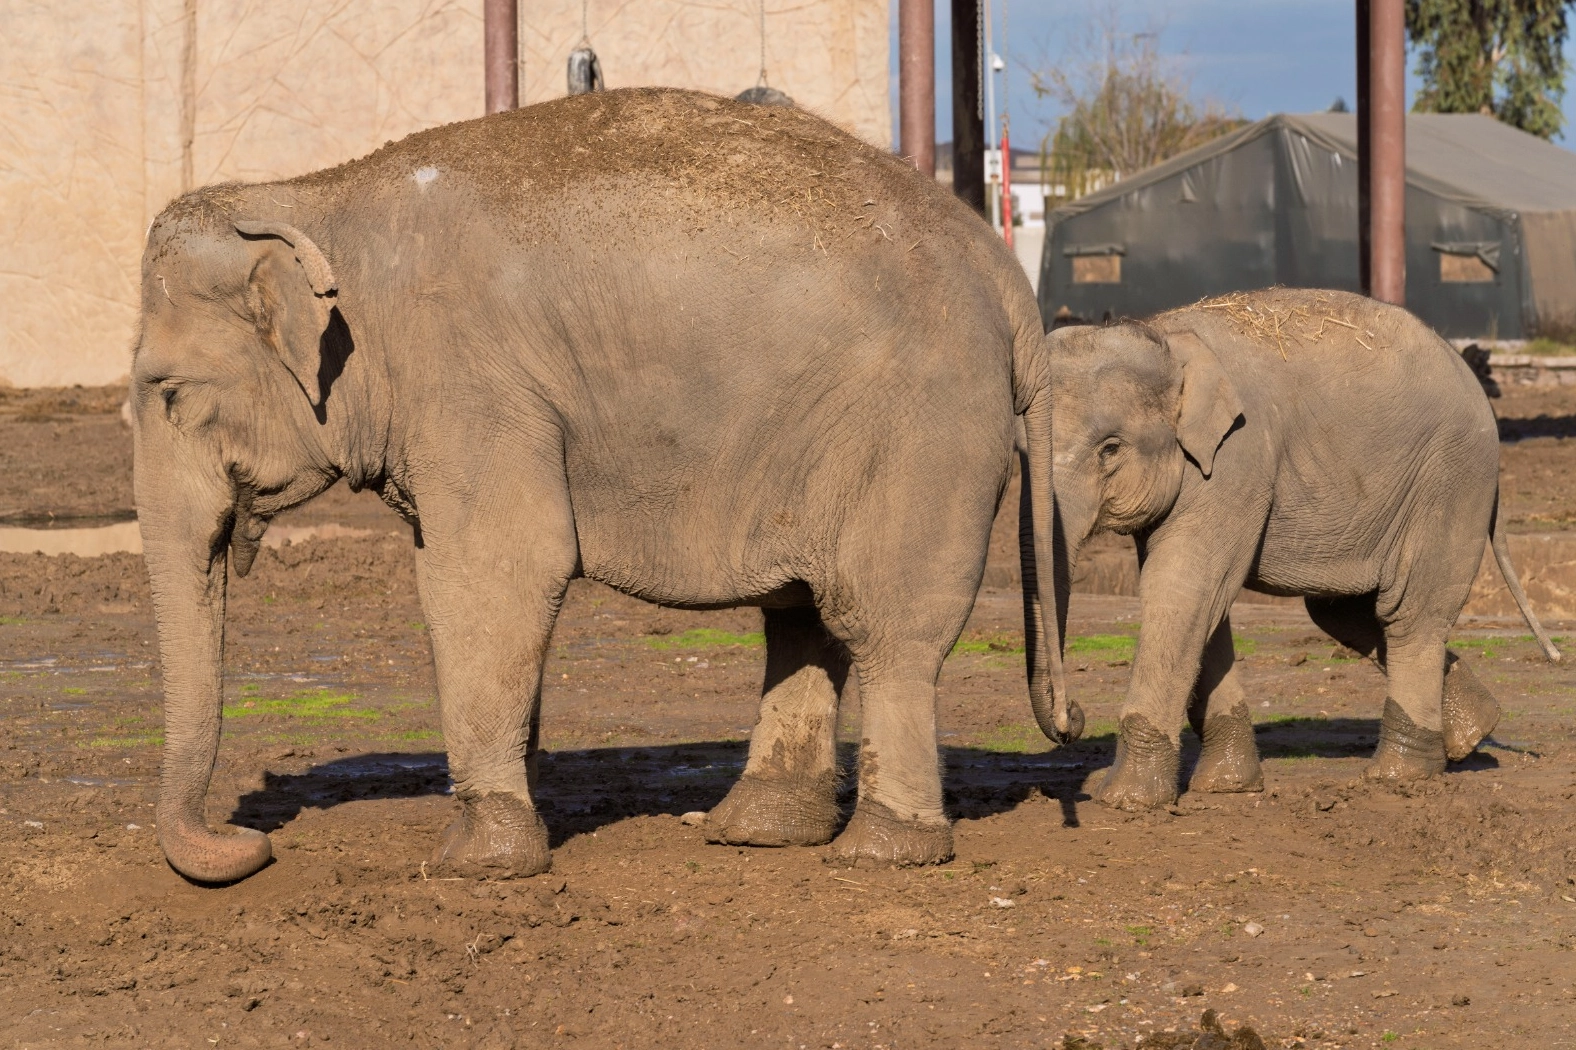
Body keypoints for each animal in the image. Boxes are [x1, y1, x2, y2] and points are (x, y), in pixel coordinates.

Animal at [135, 89, 1077, 876]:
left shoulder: (473, 381)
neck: (313, 196)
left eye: (169, 393)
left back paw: (881, 852)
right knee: (804, 616)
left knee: (883, 622)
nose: (248, 838)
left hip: (923, 429)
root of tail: (1004, 276)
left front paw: (474, 862)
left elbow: (496, 569)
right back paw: (758, 830)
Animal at [1040, 283, 1557, 800]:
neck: (1163, 336)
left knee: (1408, 613)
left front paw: (1125, 800)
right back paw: (1473, 730)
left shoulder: (1238, 457)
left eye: (1110, 449)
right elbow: (1206, 603)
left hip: (1449, 479)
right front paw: (1228, 786)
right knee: (1344, 611)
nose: (1073, 719)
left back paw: (1400, 775)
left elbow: (1182, 589)